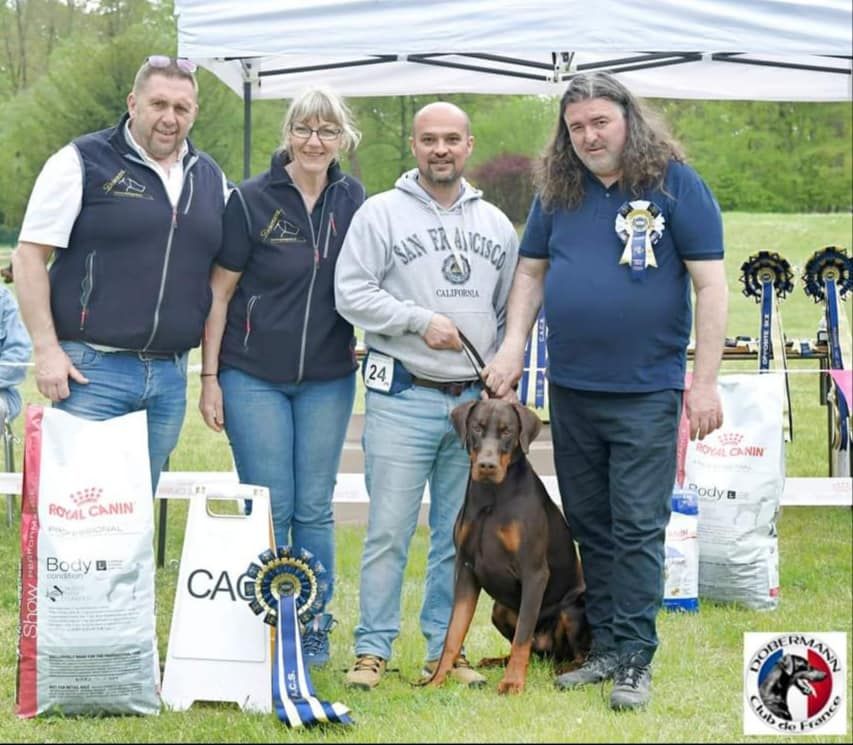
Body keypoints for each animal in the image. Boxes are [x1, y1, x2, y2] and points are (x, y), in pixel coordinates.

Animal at [424, 398, 588, 696]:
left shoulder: (534, 572)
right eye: (477, 428)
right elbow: (453, 633)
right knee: (529, 650)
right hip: (499, 609)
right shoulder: (466, 570)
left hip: (573, 608)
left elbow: (523, 635)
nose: (487, 465)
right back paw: (496, 660)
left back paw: (565, 670)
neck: (492, 496)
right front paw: (437, 679)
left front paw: (512, 683)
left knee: (575, 654)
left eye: (507, 431)